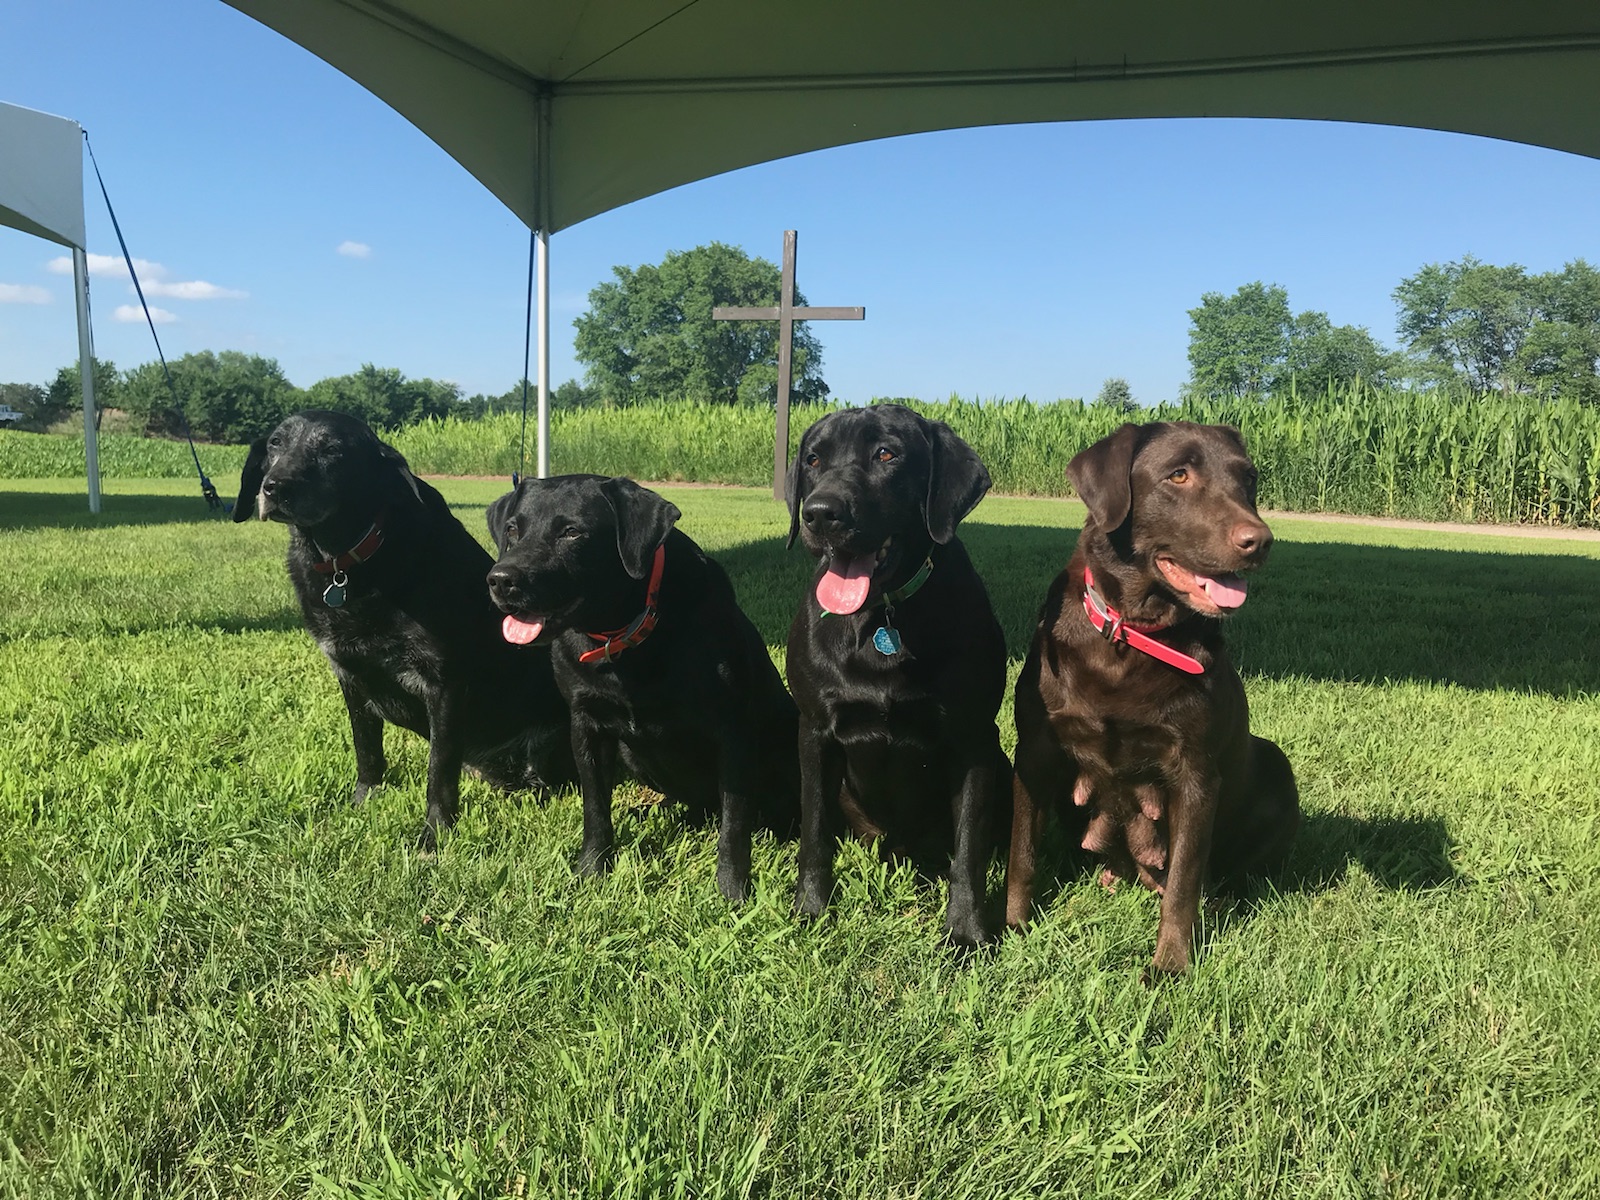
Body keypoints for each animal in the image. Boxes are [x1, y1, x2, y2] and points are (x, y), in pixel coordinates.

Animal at [228, 412, 572, 844]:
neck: (348, 563)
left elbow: (439, 770)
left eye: (332, 450)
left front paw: (435, 834)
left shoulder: (445, 684)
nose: (274, 487)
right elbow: (367, 751)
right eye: (275, 443)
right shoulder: (349, 676)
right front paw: (363, 801)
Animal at [476, 473, 796, 896]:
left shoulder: (733, 731)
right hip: (635, 756)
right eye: (513, 529)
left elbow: (735, 821)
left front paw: (731, 888)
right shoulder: (586, 725)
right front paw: (592, 869)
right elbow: (595, 806)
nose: (500, 580)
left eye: (572, 532)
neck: (626, 634)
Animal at [780, 409, 1004, 953]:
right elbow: (814, 833)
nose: (820, 514)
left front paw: (967, 930)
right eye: (813, 459)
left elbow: (970, 847)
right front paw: (810, 909)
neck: (880, 615)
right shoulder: (814, 731)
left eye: (886, 454)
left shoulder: (976, 739)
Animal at [1011, 422, 1299, 979]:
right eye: (1178, 475)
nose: (1260, 542)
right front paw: (1009, 928)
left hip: (1277, 762)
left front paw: (1170, 965)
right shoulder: (1033, 751)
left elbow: (1184, 880)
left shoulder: (1196, 774)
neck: (1131, 634)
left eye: (1248, 478)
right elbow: (1023, 854)